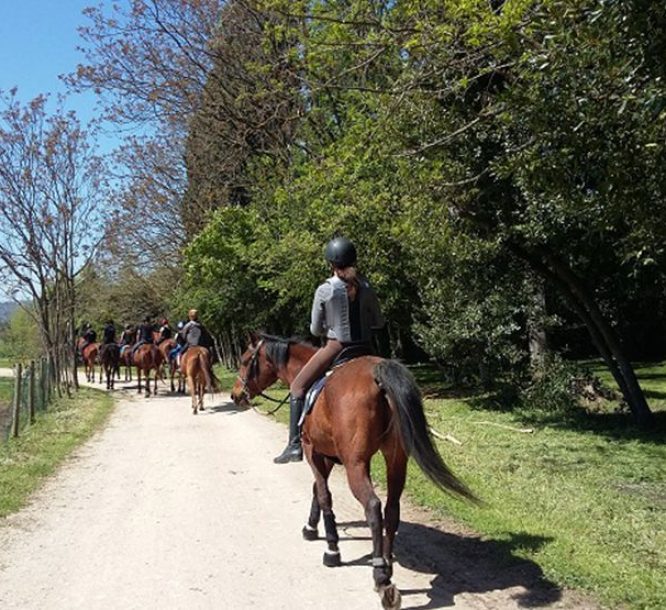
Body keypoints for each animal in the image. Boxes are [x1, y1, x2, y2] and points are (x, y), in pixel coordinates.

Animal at [230, 332, 478, 608]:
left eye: (244, 360)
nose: (235, 394)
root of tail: (376, 374)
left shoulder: (313, 451)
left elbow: (323, 494)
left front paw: (331, 548)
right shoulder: (329, 455)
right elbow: (317, 490)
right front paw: (311, 527)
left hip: (354, 464)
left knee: (373, 506)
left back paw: (381, 577)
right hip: (395, 460)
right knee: (391, 510)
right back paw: (387, 564)